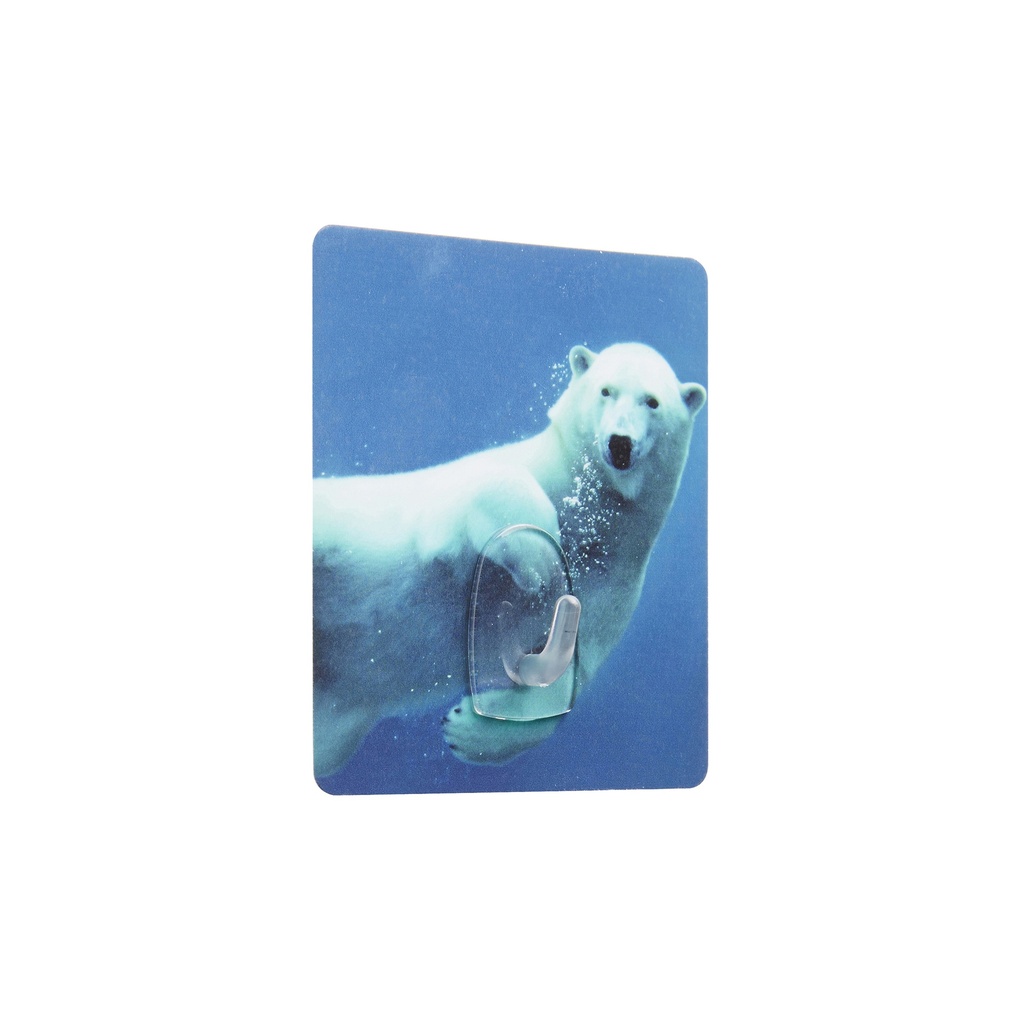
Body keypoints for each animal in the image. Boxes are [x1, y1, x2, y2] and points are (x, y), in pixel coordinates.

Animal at [312, 342, 706, 779]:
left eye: (652, 401)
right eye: (606, 390)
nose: (619, 443)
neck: (593, 516)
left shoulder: (613, 579)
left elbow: (568, 668)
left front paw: (466, 729)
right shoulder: (460, 497)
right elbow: (491, 487)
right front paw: (541, 561)